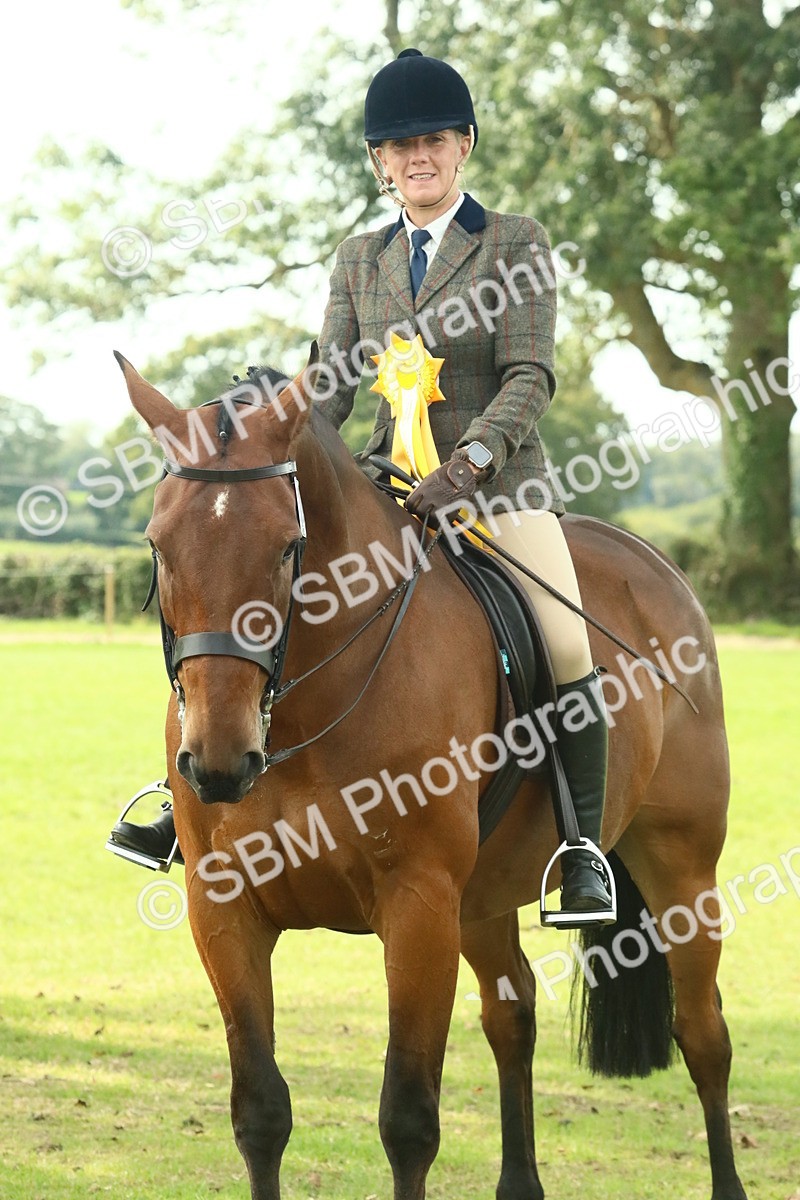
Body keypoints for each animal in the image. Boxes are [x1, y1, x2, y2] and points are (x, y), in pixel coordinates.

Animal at [116, 348, 748, 1200]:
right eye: (158, 546)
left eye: (287, 547)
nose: (218, 761)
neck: (310, 706)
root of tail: (655, 566)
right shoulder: (224, 909)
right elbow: (260, 1111)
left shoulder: (418, 906)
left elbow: (408, 1119)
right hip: (482, 895)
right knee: (512, 1017)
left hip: (680, 863)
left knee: (703, 1034)